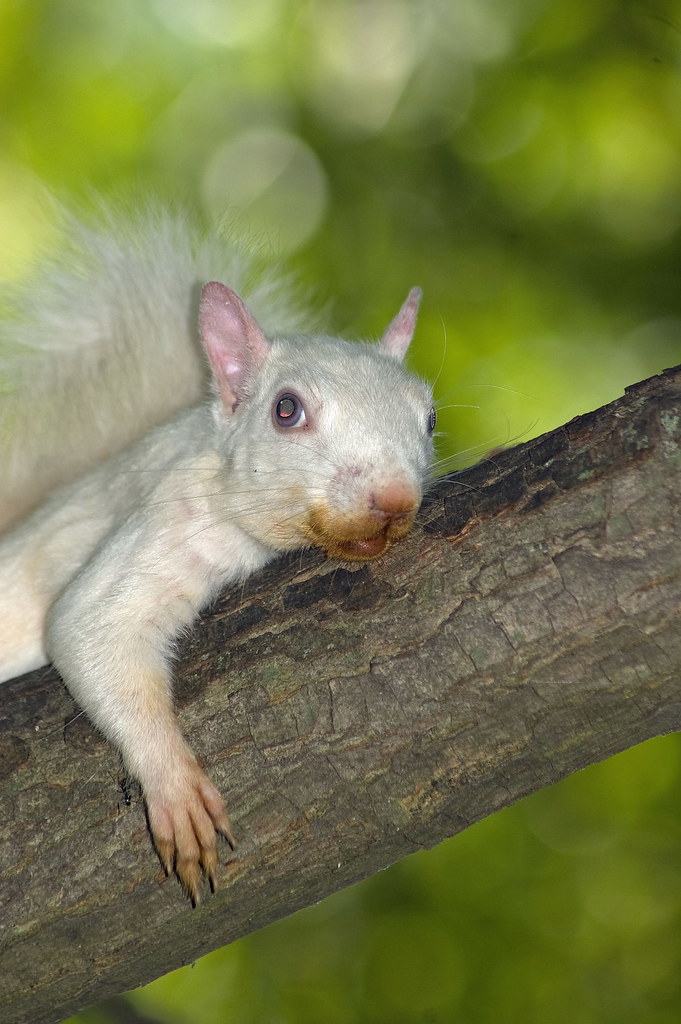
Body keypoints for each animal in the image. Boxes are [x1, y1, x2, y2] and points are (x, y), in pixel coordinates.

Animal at [0, 200, 436, 901]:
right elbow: (91, 626)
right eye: (286, 410)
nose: (395, 499)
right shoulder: (172, 516)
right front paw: (177, 789)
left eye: (429, 418)